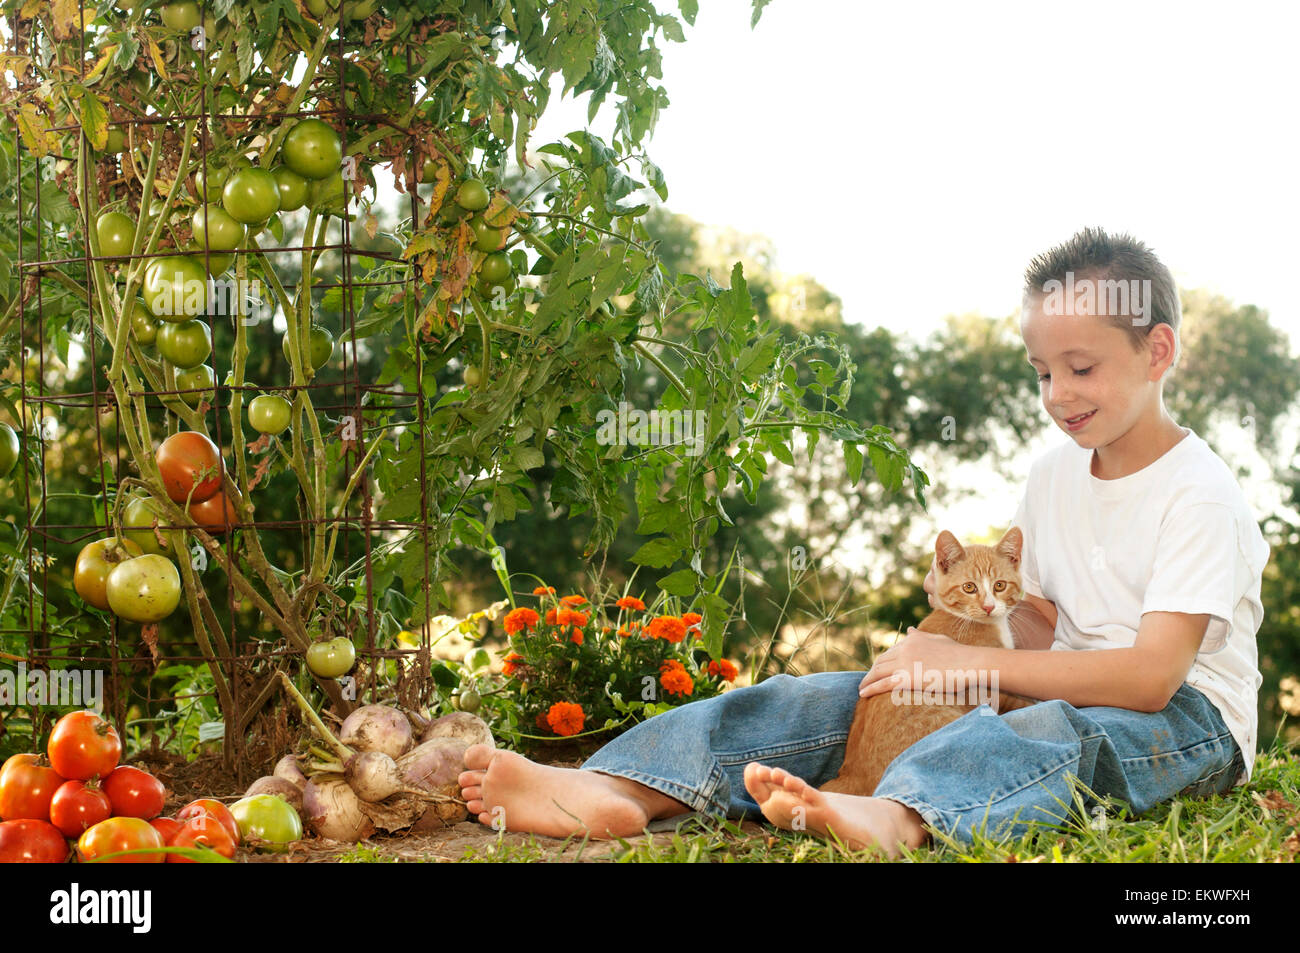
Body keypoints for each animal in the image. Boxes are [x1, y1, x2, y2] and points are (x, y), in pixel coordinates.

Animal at [826, 527, 1040, 795]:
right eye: (969, 587)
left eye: (999, 585)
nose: (989, 607)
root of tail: (850, 774)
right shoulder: (991, 690)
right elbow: (1023, 701)